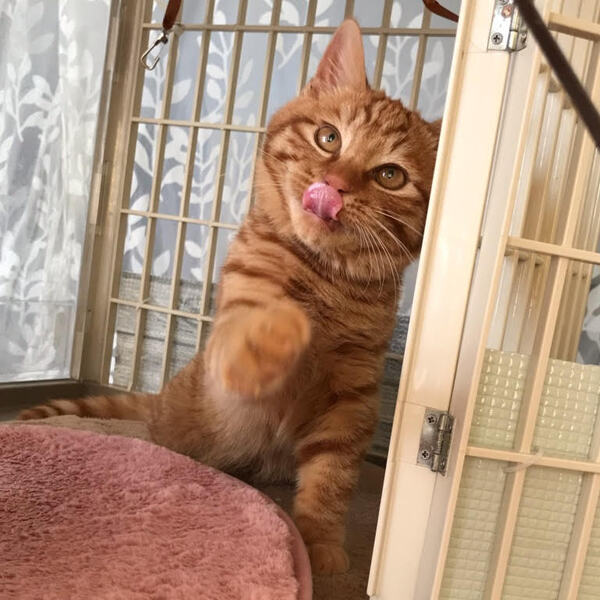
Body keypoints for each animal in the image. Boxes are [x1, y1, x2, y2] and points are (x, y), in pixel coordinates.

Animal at [20, 19, 440, 574]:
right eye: (329, 137)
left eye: (390, 175)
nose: (334, 185)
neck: (324, 276)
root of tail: (160, 399)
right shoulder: (238, 338)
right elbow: (256, 341)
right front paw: (286, 327)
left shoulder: (352, 397)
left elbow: (332, 477)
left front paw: (320, 542)